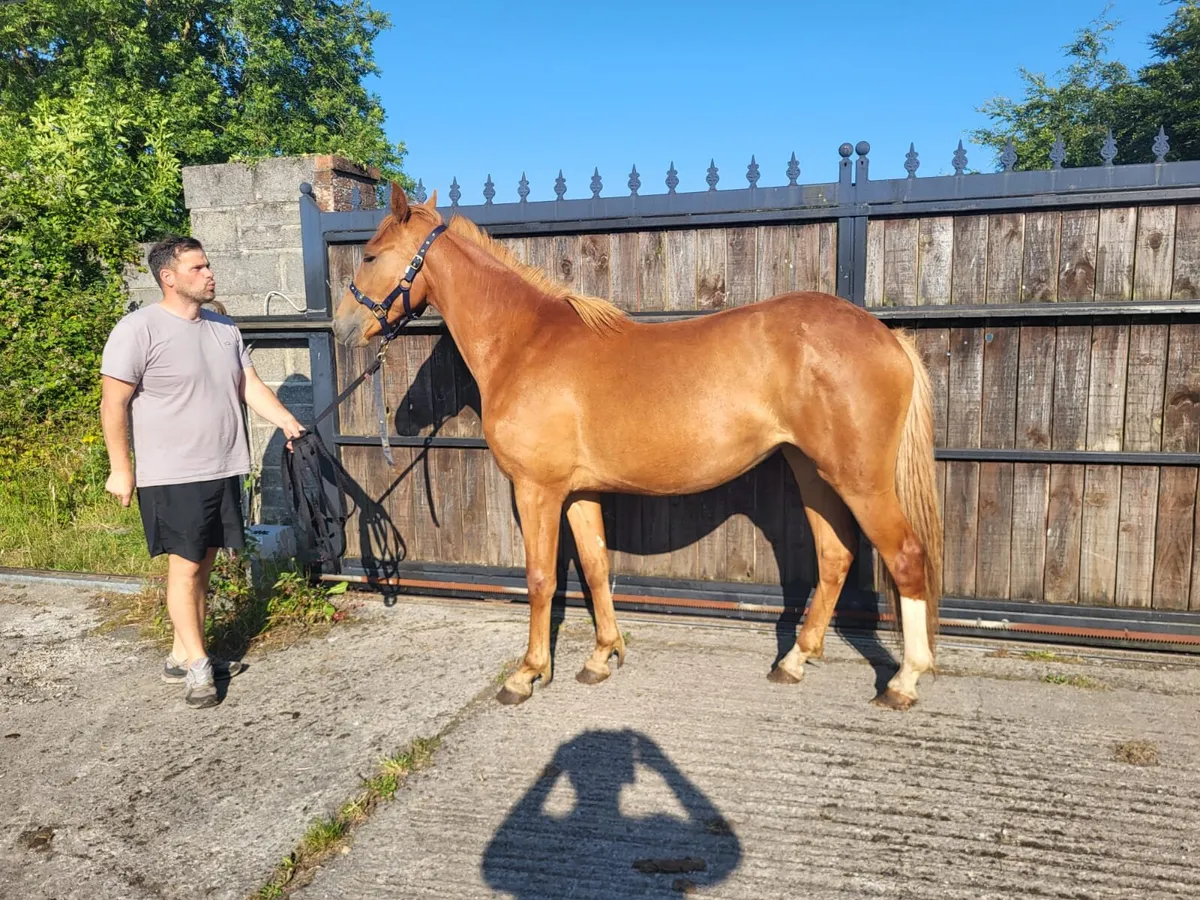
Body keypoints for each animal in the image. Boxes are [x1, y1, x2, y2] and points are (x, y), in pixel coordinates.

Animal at [331, 184, 944, 711]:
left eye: (370, 255)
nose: (341, 326)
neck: (527, 343)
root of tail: (887, 337)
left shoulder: (537, 490)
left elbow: (541, 579)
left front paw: (527, 673)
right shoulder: (579, 493)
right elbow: (596, 567)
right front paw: (601, 657)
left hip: (860, 479)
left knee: (906, 557)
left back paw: (904, 681)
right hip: (812, 470)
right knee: (835, 556)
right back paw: (794, 660)